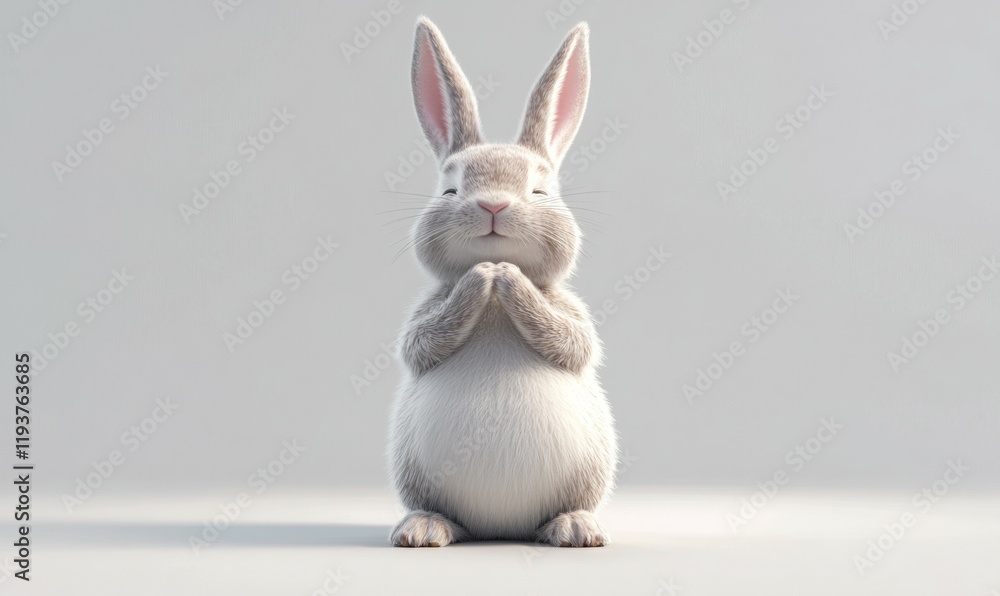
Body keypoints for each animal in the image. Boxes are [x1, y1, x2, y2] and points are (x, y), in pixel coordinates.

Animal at [387, 16, 618, 548]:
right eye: (451, 191)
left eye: (539, 191)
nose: (493, 205)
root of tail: (502, 527)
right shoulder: (424, 317)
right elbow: (419, 344)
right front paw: (483, 275)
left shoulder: (571, 313)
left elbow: (574, 342)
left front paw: (506, 275)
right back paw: (425, 527)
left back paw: (574, 527)